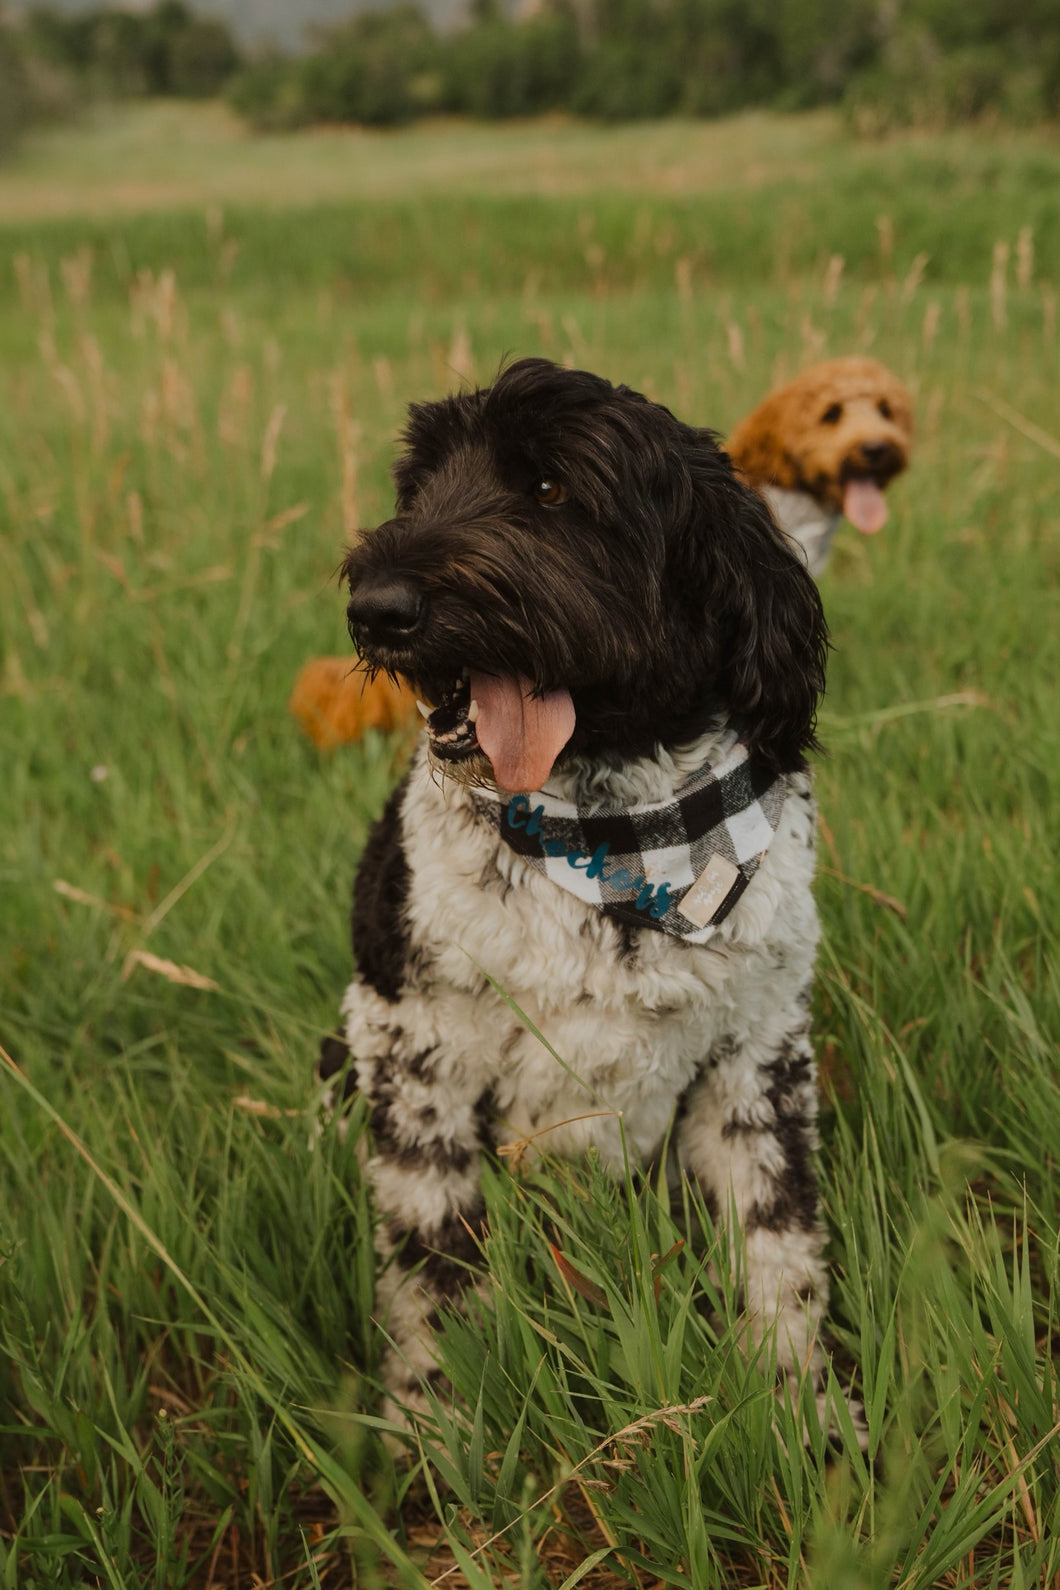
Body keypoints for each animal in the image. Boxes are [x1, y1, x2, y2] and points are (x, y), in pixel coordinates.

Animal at [319, 360, 832, 1431]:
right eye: (419, 488)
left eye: (551, 489)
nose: (377, 608)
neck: (612, 843)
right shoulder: (416, 1048)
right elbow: (434, 1259)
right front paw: (433, 1427)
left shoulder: (757, 1057)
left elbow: (781, 1245)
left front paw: (801, 1411)